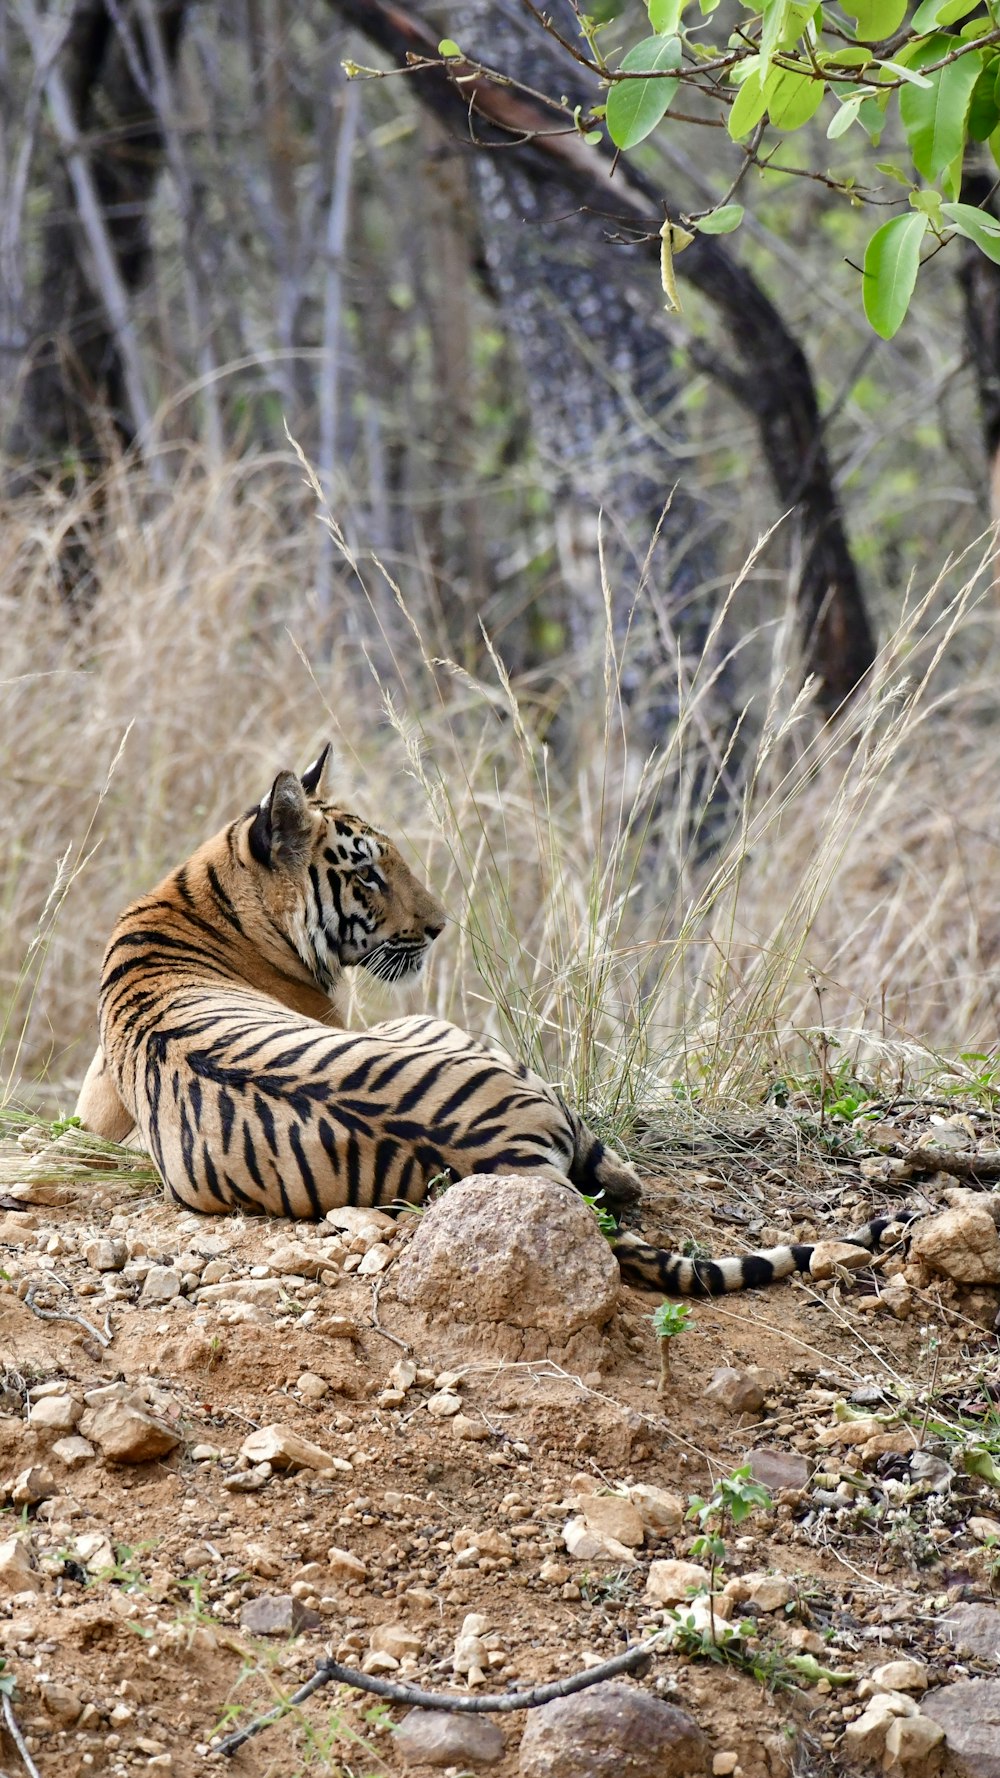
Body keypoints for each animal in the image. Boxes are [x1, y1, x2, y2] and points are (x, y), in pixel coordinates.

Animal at [73, 743, 907, 1301]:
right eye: (367, 872)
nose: (440, 927)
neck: (201, 896)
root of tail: (508, 1152)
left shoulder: (97, 1096)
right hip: (460, 1040)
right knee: (622, 1178)